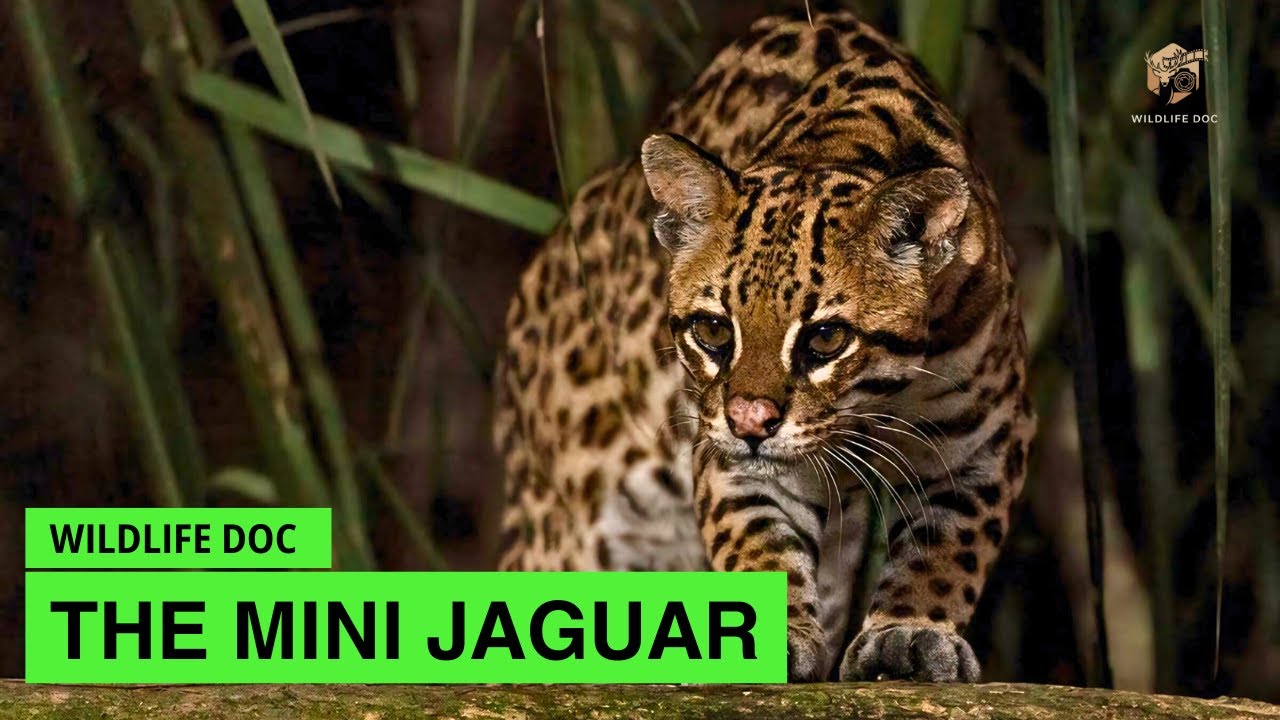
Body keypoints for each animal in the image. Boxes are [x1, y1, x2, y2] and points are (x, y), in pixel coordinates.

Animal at [493, 8, 1035, 683]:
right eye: (714, 331)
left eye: (826, 337)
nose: (751, 422)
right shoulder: (727, 452)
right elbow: (759, 536)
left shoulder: (982, 439)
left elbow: (945, 546)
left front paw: (912, 632)